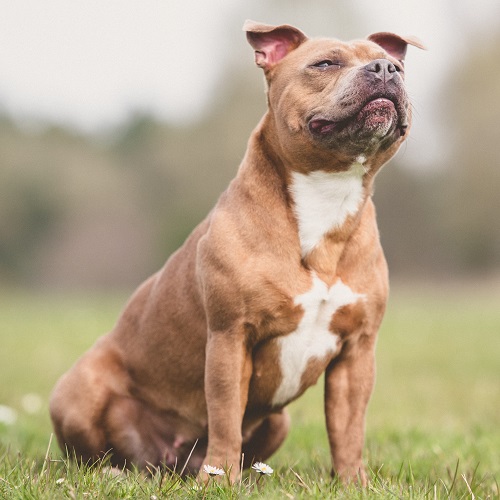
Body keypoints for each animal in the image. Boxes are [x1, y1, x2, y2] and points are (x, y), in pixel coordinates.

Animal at [49, 20, 426, 484]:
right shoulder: (230, 338)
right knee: (96, 453)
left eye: (398, 67)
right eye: (325, 63)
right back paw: (117, 473)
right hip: (76, 391)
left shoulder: (356, 352)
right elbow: (226, 416)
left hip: (278, 422)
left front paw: (352, 482)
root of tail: (166, 460)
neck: (327, 195)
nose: (385, 69)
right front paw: (222, 480)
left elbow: (348, 429)